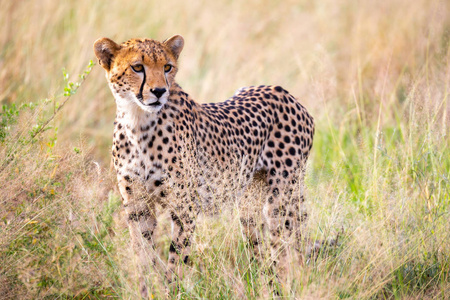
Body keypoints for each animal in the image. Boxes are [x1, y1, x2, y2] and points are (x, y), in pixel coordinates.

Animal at [93, 35, 314, 296]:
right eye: (137, 67)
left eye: (167, 67)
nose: (159, 91)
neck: (138, 121)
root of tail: (285, 93)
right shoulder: (138, 207)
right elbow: (143, 255)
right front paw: (145, 291)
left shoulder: (185, 208)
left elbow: (176, 259)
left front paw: (172, 292)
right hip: (249, 204)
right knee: (261, 252)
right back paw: (265, 287)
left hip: (282, 200)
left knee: (286, 250)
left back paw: (287, 287)